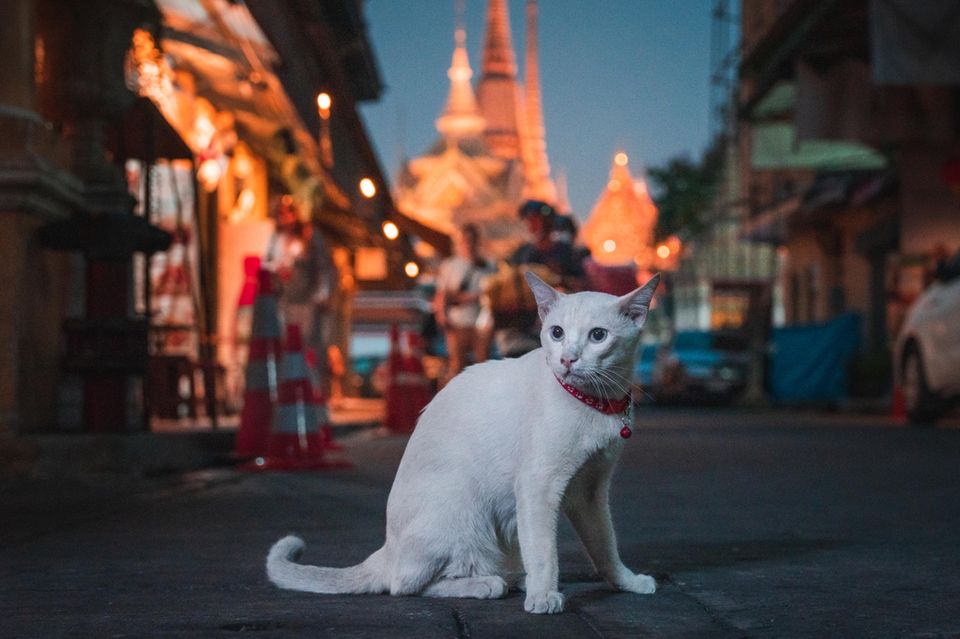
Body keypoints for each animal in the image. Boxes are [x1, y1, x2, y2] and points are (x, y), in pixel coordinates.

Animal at [268, 272, 660, 616]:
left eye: (598, 335)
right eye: (557, 333)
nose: (568, 359)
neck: (598, 404)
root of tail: (387, 548)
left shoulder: (590, 492)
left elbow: (605, 546)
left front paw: (628, 583)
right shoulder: (539, 486)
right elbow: (545, 553)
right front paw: (544, 598)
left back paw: (515, 579)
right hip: (464, 513)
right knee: (405, 585)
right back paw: (490, 584)